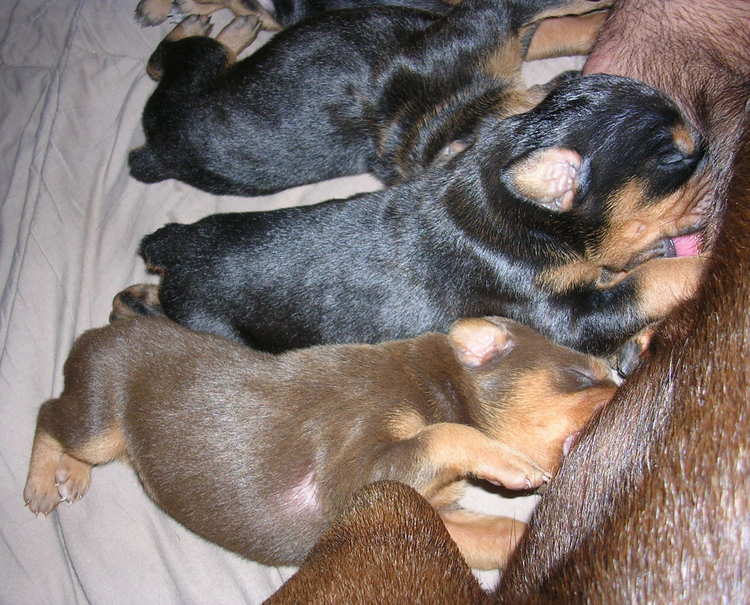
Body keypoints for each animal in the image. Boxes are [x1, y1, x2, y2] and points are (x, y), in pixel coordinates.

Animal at [25, 314, 624, 568]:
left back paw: (70, 476)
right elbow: (448, 433)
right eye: (583, 376)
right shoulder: (357, 467)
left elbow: (503, 534)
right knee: (49, 415)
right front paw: (511, 464)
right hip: (100, 418)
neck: (440, 384)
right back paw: (43, 482)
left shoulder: (432, 514)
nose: (630, 382)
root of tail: (97, 331)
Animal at [122, 73, 704, 356]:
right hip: (213, 322)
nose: (710, 148)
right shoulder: (560, 313)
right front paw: (701, 264)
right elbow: (648, 282)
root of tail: (179, 245)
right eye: (675, 157)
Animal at [129, 0, 612, 195]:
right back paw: (223, 27)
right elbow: (568, 8)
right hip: (197, 63)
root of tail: (154, 154)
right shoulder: (493, 16)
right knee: (162, 58)